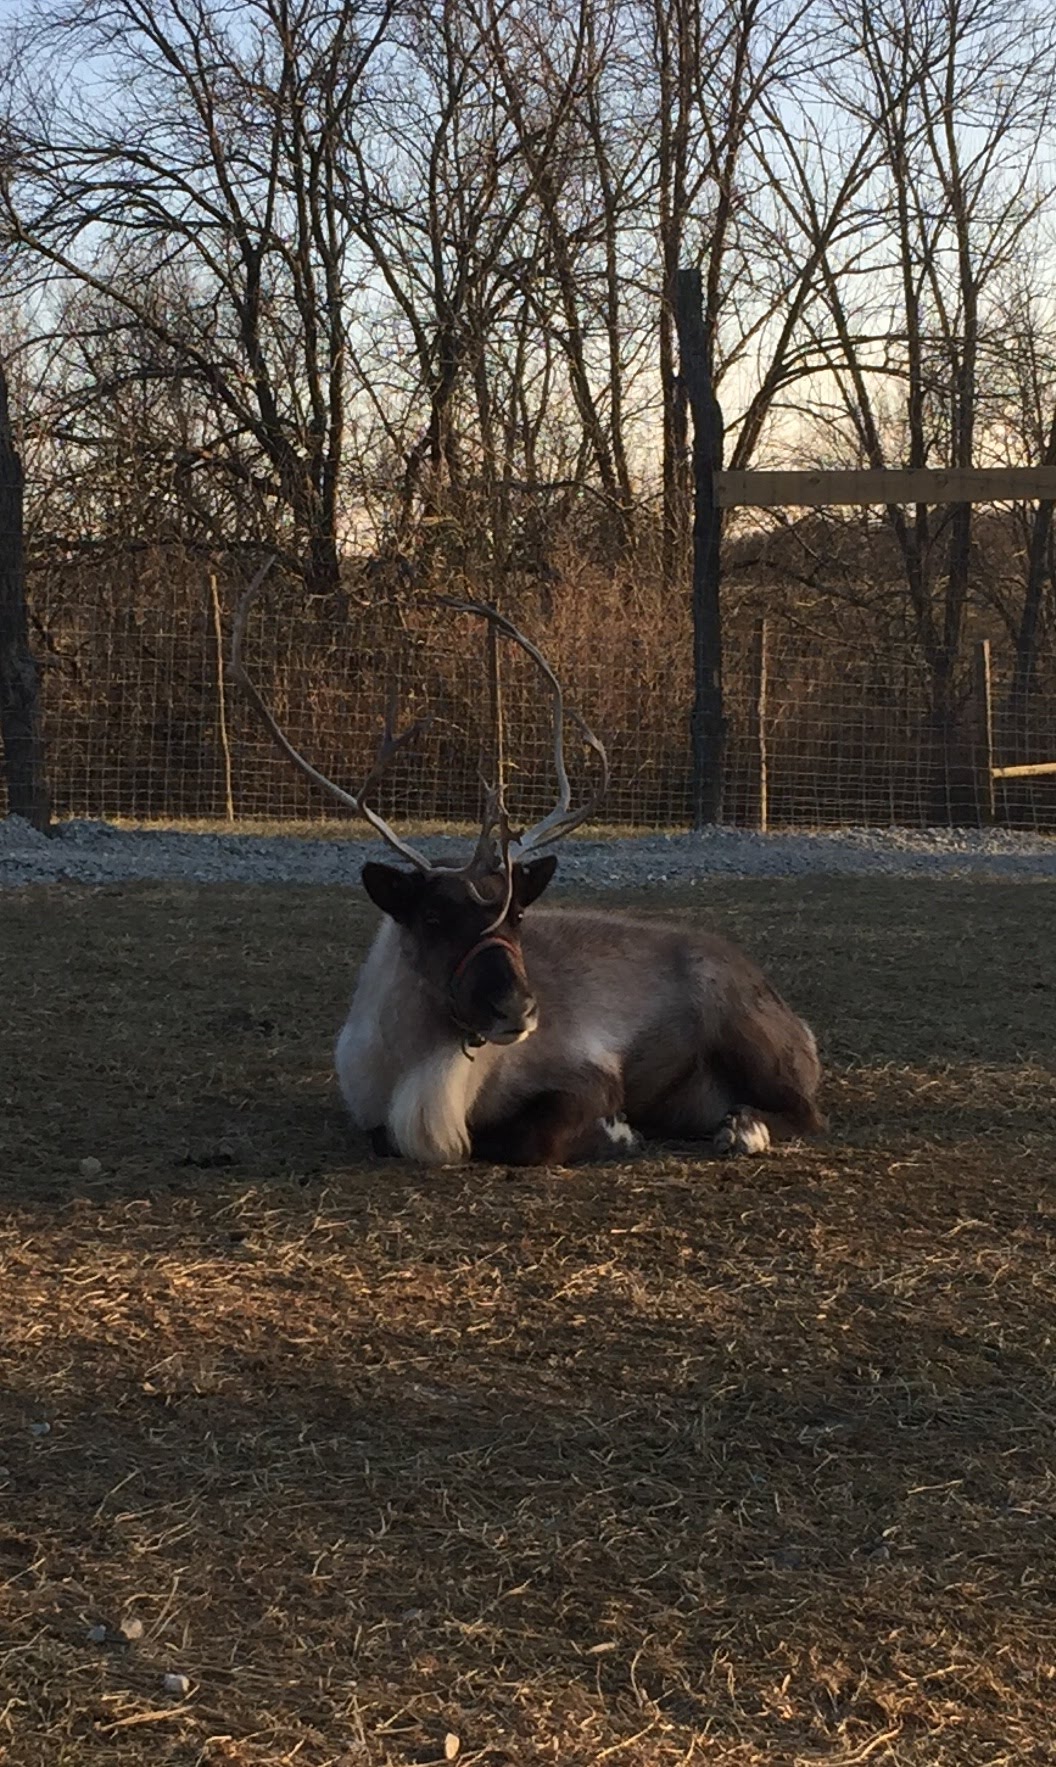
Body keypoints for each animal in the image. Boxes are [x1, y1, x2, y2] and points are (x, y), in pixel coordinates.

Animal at [231, 568, 823, 1167]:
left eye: (517, 916)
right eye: (432, 917)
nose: (516, 1007)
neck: (430, 1075)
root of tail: (800, 1022)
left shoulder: (589, 1072)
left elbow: (529, 1137)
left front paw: (618, 1130)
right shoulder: (370, 1112)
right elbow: (389, 1137)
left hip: (743, 1031)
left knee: (805, 1114)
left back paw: (742, 1128)